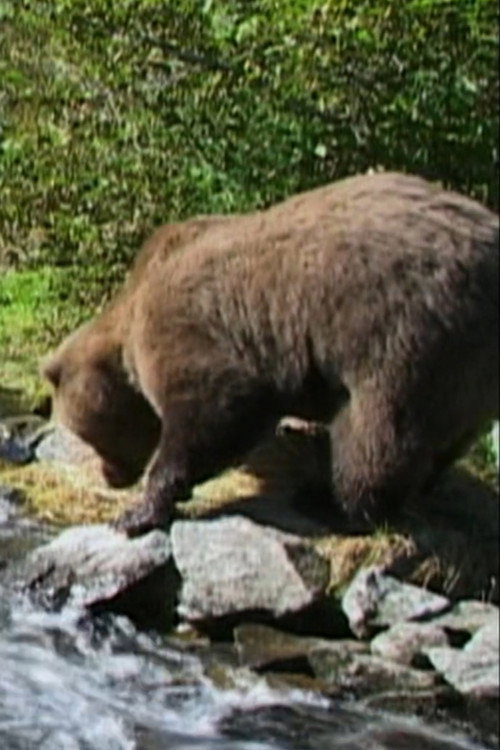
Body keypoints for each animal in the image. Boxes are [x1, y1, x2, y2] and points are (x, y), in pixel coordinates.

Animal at [42, 171, 499, 536]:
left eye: (83, 433)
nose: (110, 477)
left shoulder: (192, 333)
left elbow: (214, 413)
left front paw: (140, 511)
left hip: (404, 333)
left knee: (377, 430)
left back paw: (333, 504)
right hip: (469, 372)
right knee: (443, 440)